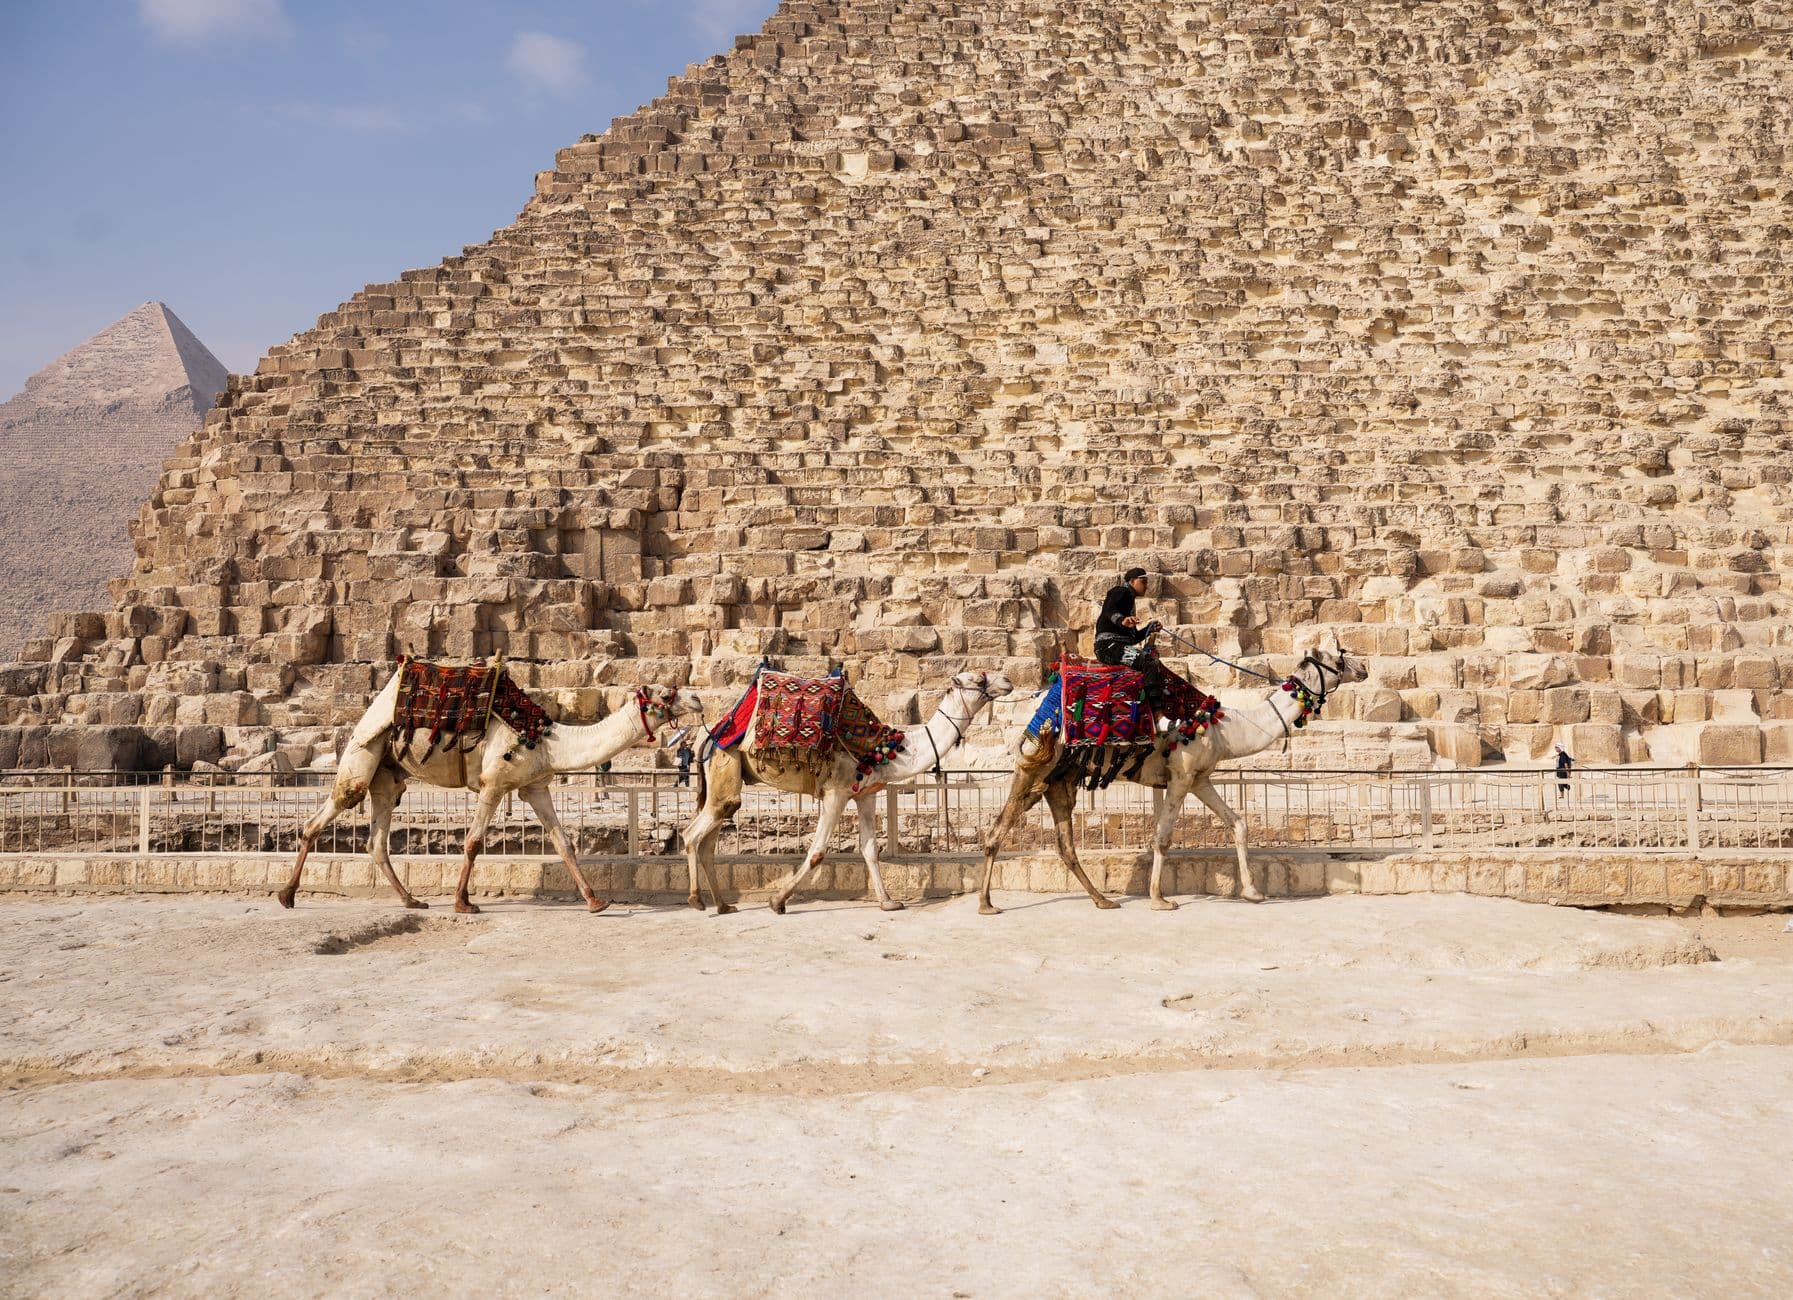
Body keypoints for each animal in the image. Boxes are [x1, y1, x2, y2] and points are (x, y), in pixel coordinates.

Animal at [278, 669, 702, 914]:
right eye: (664, 695)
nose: (698, 699)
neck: (547, 741)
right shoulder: (494, 782)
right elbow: (472, 842)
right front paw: (463, 903)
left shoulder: (534, 787)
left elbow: (564, 843)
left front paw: (596, 901)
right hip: (363, 751)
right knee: (330, 810)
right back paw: (287, 895)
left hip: (389, 774)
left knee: (376, 840)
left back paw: (411, 900)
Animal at [683, 670, 1015, 914]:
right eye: (979, 679)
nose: (1008, 681)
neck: (886, 749)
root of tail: (707, 736)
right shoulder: (836, 792)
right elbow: (817, 850)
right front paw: (777, 901)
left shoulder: (865, 793)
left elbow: (869, 849)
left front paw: (888, 902)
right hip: (725, 761)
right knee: (693, 833)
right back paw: (697, 900)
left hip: (726, 776)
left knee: (711, 836)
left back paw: (723, 906)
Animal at [976, 632, 1366, 913]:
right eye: (1337, 659)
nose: (1363, 668)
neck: (1224, 727)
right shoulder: (1180, 775)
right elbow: (1162, 837)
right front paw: (1160, 899)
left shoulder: (1200, 778)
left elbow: (1237, 823)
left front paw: (1253, 892)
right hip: (1037, 767)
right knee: (999, 830)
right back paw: (987, 904)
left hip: (1057, 779)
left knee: (1063, 844)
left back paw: (1103, 900)